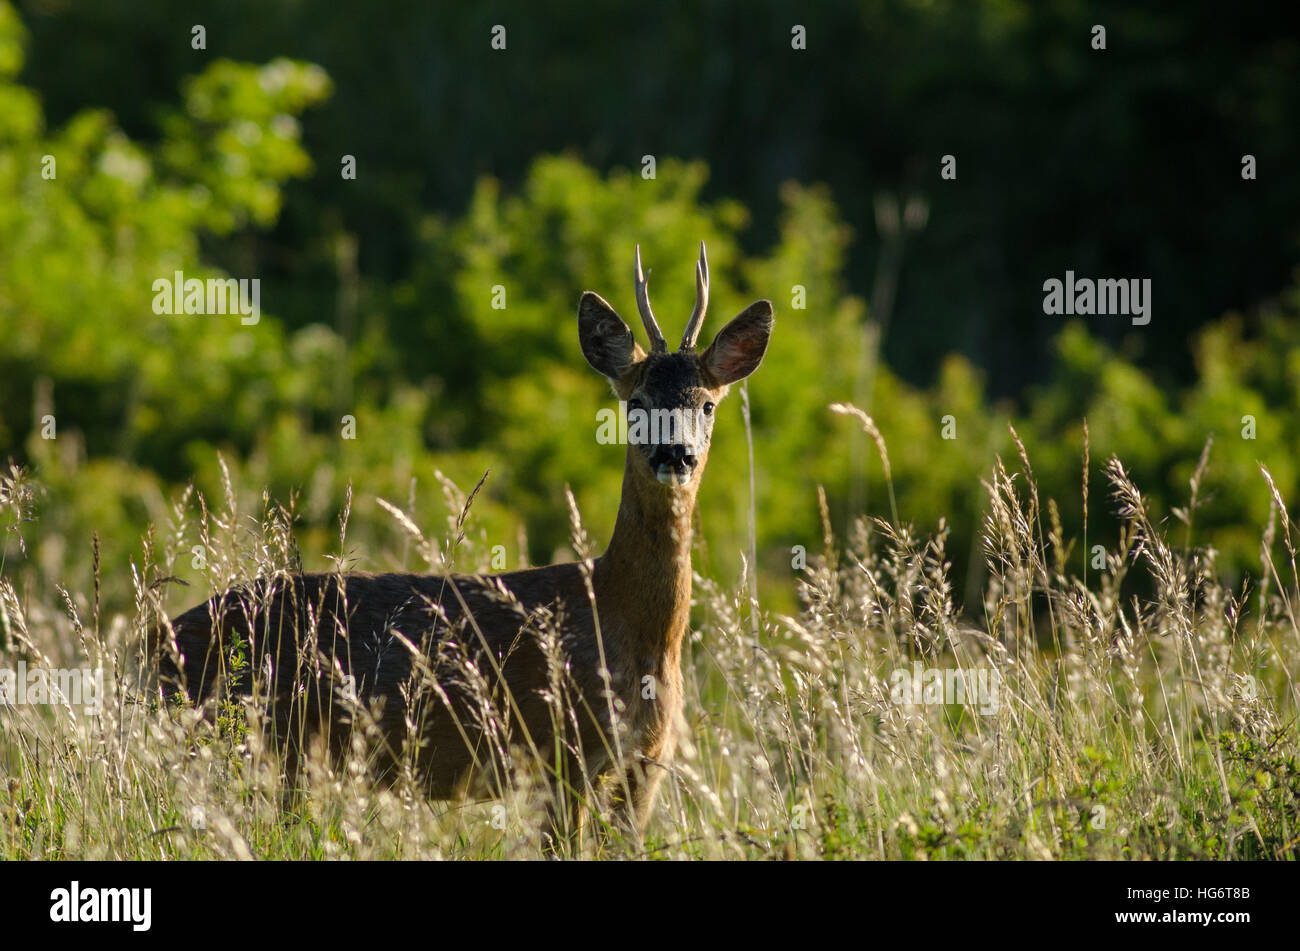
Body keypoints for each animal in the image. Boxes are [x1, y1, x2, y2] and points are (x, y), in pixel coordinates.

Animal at [157, 241, 774, 841]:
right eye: (637, 402)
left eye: (708, 404)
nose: (676, 455)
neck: (630, 626)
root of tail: (150, 644)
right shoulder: (560, 752)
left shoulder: (644, 766)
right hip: (254, 739)